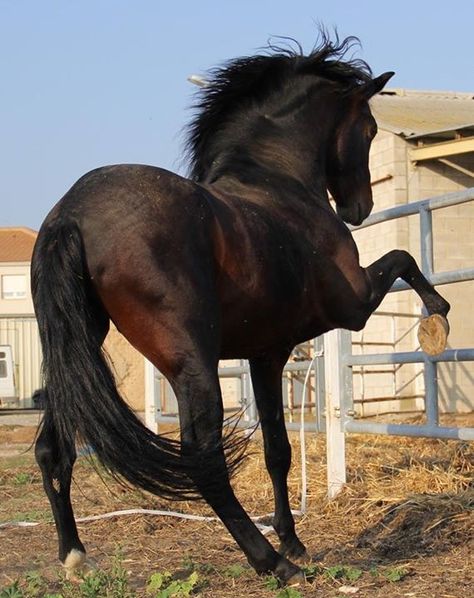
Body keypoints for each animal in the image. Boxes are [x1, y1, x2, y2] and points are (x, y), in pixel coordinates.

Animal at [31, 36, 450, 584]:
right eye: (370, 129)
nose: (358, 209)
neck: (277, 184)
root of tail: (71, 214)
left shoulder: (266, 354)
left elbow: (277, 449)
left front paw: (294, 540)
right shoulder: (353, 304)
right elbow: (403, 258)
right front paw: (439, 312)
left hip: (74, 355)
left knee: (52, 448)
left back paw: (75, 555)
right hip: (191, 366)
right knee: (204, 462)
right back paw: (271, 563)